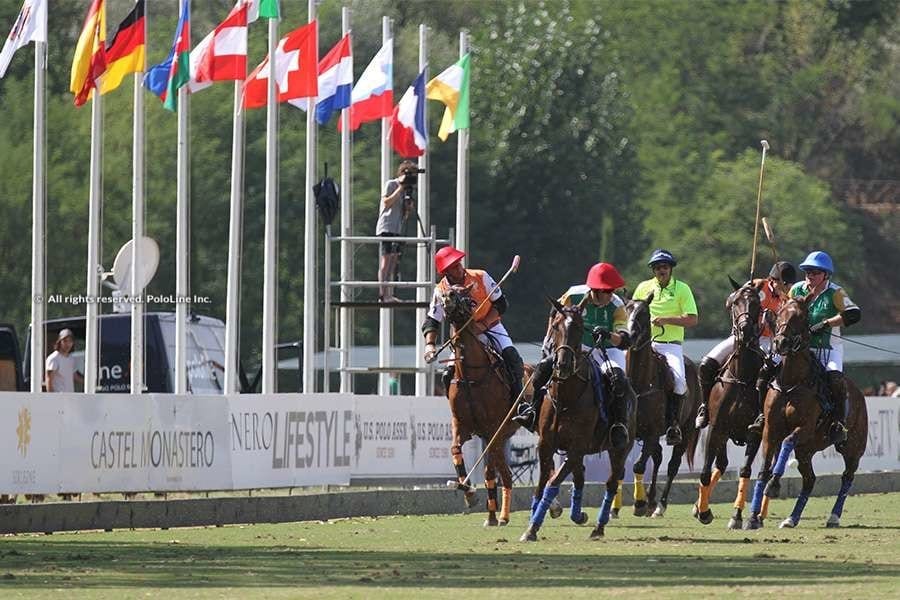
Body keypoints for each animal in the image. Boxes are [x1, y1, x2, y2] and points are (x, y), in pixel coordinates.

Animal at [438, 282, 516, 524]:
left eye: (466, 295)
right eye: (443, 293)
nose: (447, 297)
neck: (470, 373)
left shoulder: (492, 428)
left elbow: (489, 471)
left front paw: (490, 515)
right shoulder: (462, 424)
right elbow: (455, 449)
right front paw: (468, 491)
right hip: (502, 435)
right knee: (507, 473)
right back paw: (502, 515)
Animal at [516, 300, 636, 544]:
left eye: (580, 328)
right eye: (555, 326)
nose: (563, 364)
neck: (565, 397)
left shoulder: (576, 446)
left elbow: (552, 483)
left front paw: (534, 526)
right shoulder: (546, 444)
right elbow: (541, 485)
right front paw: (531, 526)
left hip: (619, 448)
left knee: (611, 482)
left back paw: (598, 527)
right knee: (580, 476)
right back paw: (578, 515)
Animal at [624, 294, 704, 516]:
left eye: (644, 313)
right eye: (627, 310)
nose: (630, 336)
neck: (640, 382)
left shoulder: (651, 433)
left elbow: (639, 465)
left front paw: (639, 504)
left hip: (685, 430)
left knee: (672, 465)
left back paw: (660, 504)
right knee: (658, 458)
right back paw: (651, 500)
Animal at [692, 278, 764, 528]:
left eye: (756, 303)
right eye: (734, 302)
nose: (745, 330)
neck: (741, 376)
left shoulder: (755, 433)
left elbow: (745, 470)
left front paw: (737, 516)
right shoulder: (716, 427)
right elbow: (705, 472)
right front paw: (704, 512)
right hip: (722, 433)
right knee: (720, 464)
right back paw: (698, 507)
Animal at [740, 296, 868, 528]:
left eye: (801, 317)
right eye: (780, 313)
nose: (780, 342)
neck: (791, 381)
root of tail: (859, 394)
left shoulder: (805, 427)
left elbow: (787, 441)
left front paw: (774, 485)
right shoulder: (770, 429)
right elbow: (764, 468)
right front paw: (753, 518)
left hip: (853, 446)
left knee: (847, 476)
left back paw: (834, 516)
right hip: (806, 450)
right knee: (810, 480)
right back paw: (791, 518)